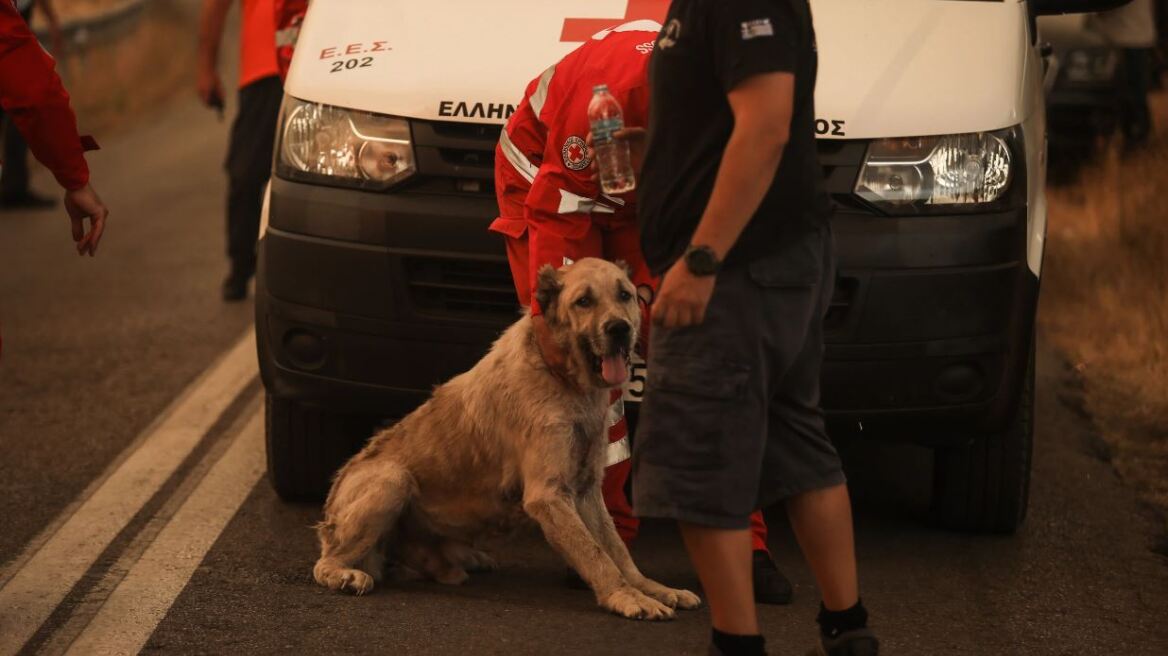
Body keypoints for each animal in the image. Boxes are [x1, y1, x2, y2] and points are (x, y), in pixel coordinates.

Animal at [313, 256, 700, 616]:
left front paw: (650, 588)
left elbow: (614, 546)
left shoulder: (587, 490)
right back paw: (345, 573)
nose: (619, 328)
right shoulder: (549, 495)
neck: (559, 374)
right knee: (325, 562)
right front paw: (625, 596)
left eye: (625, 295)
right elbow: (595, 554)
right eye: (583, 301)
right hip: (393, 479)